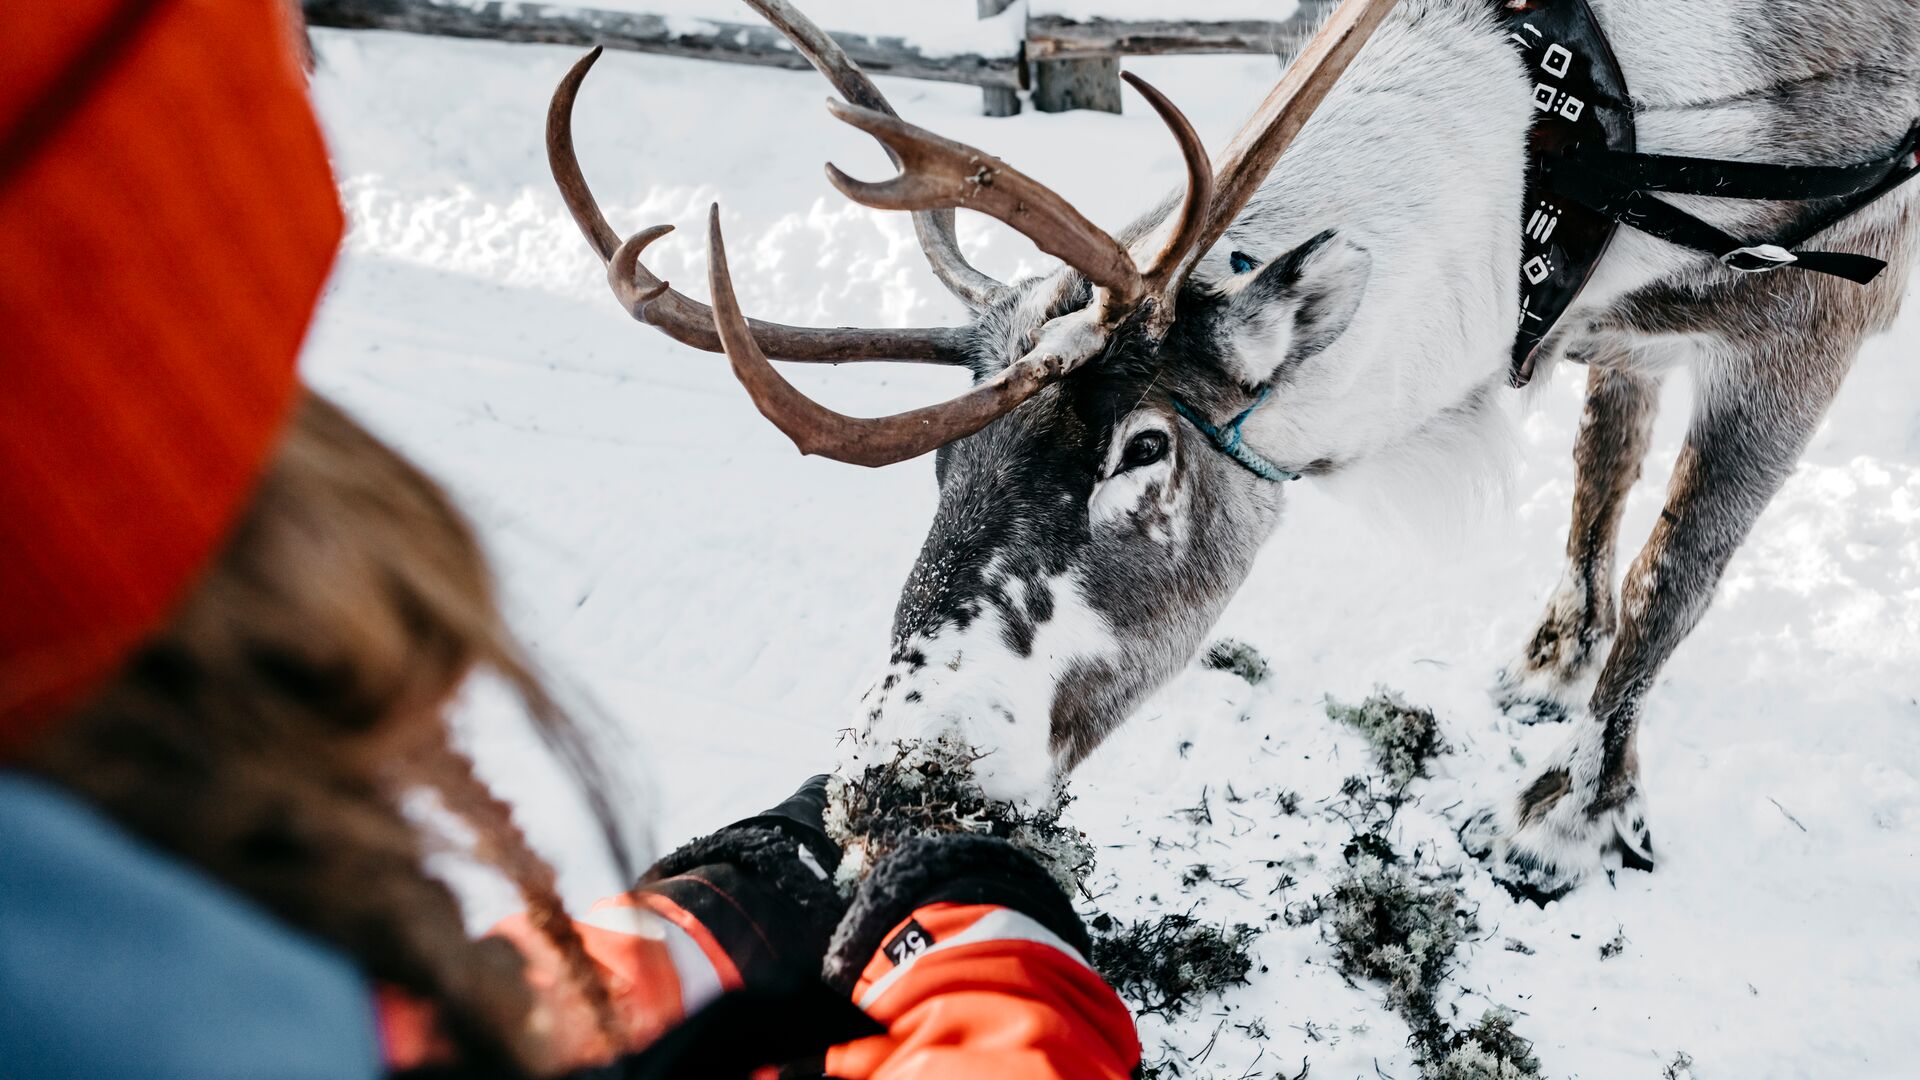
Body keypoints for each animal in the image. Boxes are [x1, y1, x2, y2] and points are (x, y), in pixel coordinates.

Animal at [548, 0, 1919, 898]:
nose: (887, 787)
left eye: (1144, 447)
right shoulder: (1618, 323)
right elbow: (1601, 474)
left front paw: (1565, 818)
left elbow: (1676, 573)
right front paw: (1549, 661)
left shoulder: (1821, 306)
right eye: (946, 464)